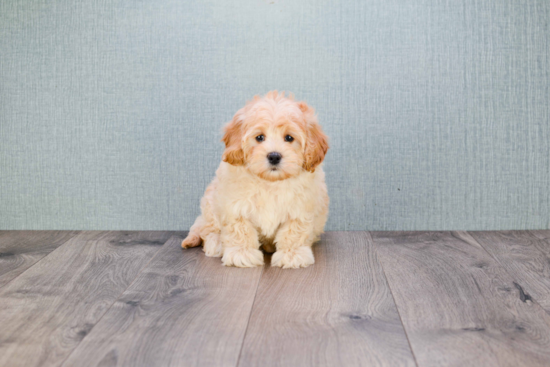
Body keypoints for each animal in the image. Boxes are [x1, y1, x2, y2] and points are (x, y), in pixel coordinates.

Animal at [181, 90, 330, 268]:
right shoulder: (235, 205)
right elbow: (240, 229)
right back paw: (216, 243)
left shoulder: (300, 208)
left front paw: (292, 254)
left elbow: (293, 231)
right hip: (210, 203)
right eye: (259, 137)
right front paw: (242, 254)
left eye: (289, 138)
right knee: (207, 228)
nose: (274, 156)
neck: (269, 182)